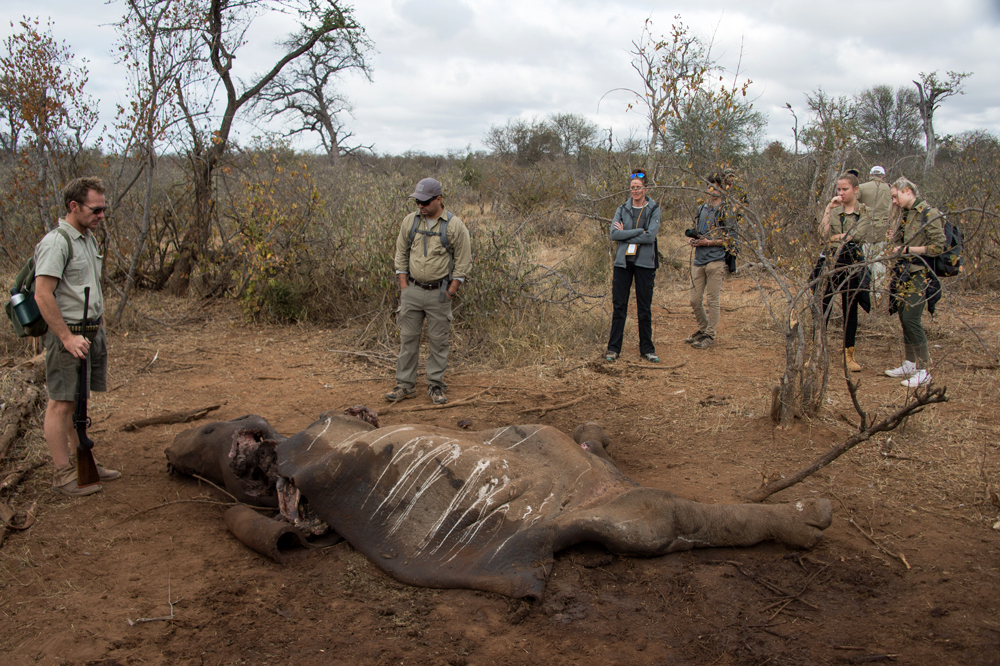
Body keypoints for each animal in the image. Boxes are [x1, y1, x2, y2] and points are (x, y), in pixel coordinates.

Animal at [168, 410, 832, 596]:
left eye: (208, 430)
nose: (171, 452)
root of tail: (610, 488)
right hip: (606, 517)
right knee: (671, 515)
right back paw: (805, 520)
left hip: (575, 470)